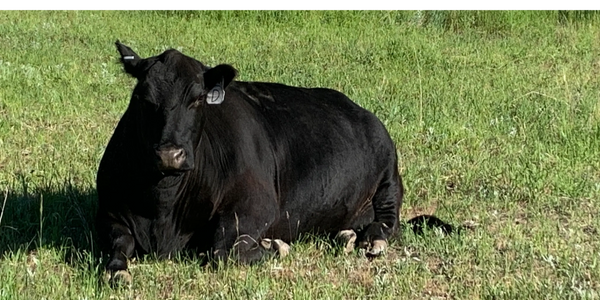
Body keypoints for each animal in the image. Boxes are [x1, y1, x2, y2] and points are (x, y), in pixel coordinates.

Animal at [97, 41, 404, 284]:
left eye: (197, 99)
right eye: (143, 98)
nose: (169, 155)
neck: (162, 209)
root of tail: (359, 108)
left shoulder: (256, 204)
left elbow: (224, 251)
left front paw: (277, 246)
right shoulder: (109, 210)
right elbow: (120, 242)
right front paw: (117, 270)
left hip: (389, 173)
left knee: (389, 217)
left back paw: (373, 239)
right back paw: (345, 235)